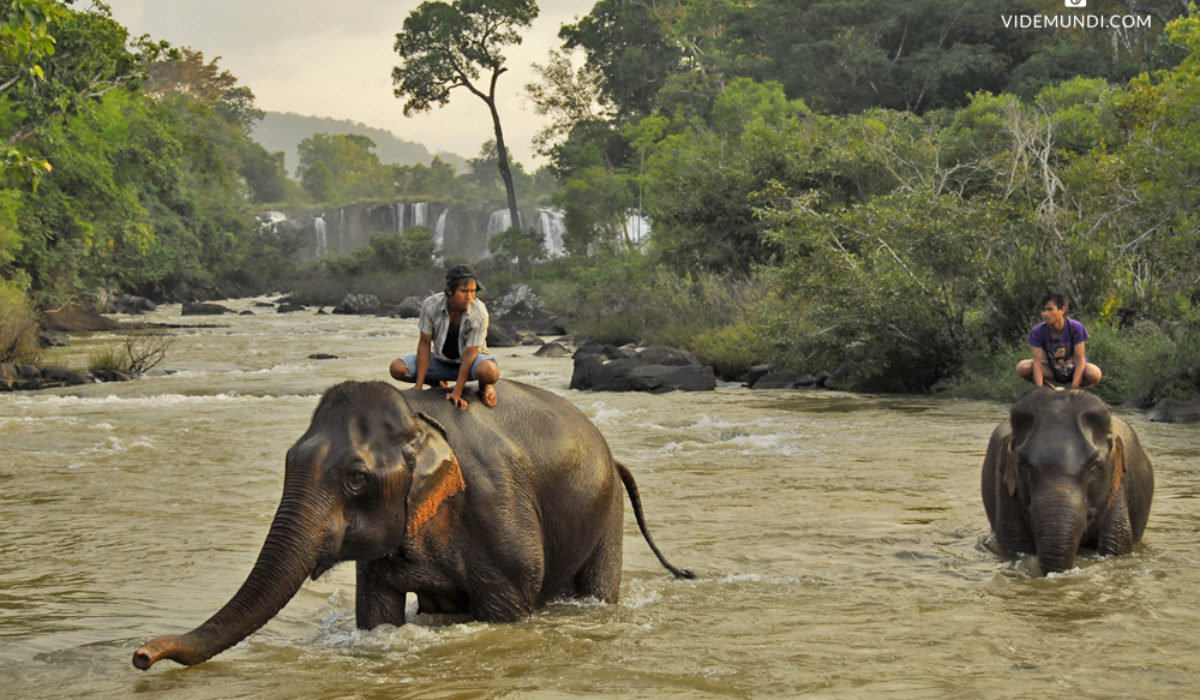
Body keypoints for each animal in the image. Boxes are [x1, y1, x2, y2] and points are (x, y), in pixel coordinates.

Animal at [131, 381, 696, 672]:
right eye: (288, 461)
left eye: (356, 478)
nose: (139, 655)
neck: (417, 419)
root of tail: (613, 456)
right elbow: (378, 613)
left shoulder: (500, 513)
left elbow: (507, 607)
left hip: (606, 513)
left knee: (597, 587)